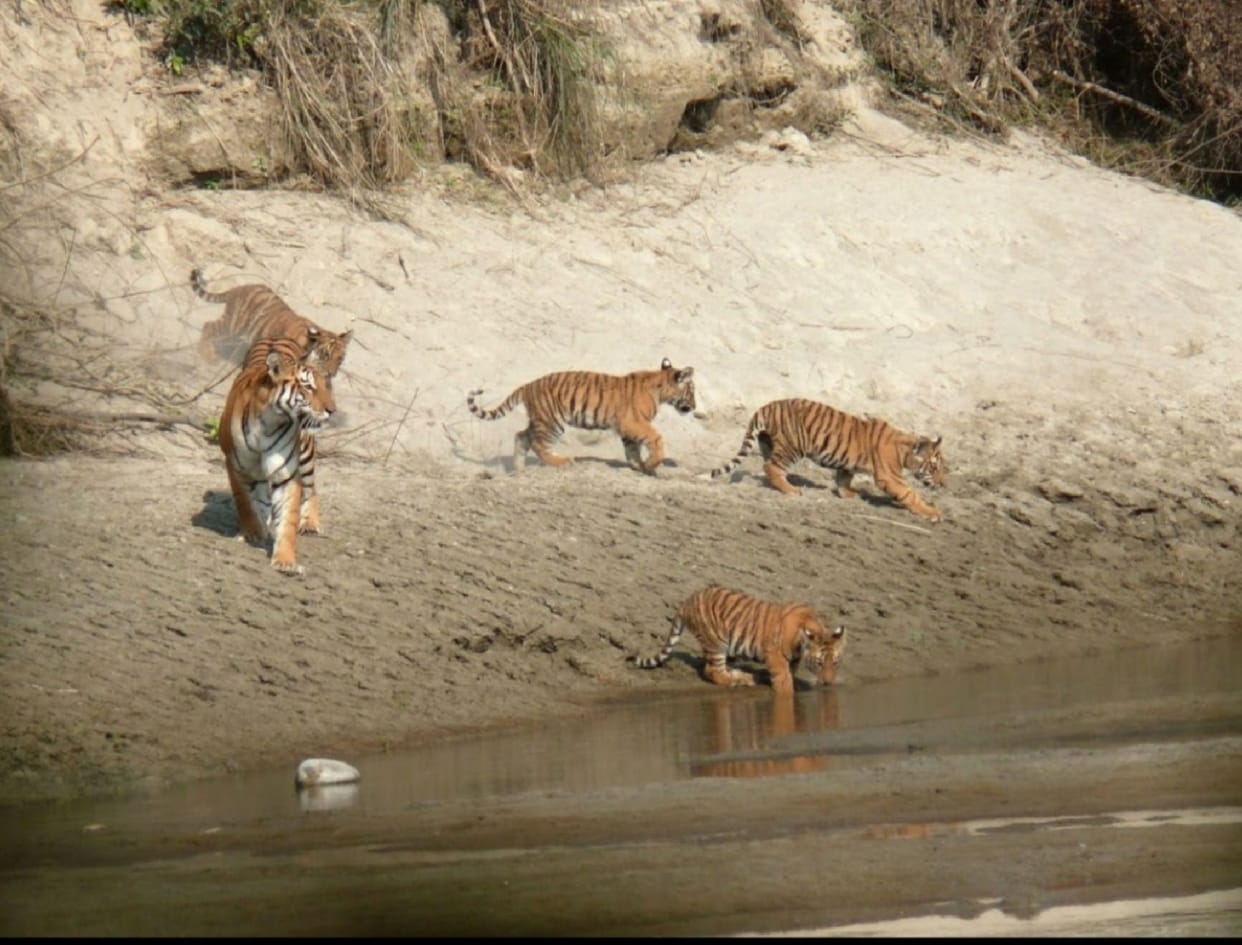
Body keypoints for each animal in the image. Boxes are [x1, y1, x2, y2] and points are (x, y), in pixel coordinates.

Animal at [191, 267, 352, 380]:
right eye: (325, 355)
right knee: (209, 326)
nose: (331, 374)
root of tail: (238, 288)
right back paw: (207, 356)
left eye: (340, 359)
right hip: (234, 324)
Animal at [218, 335, 335, 575]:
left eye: (324, 386)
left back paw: (310, 523)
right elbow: (245, 502)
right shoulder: (235, 466)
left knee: (312, 489)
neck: (270, 422)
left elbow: (288, 519)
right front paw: (253, 533)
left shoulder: (287, 475)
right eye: (308, 386)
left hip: (306, 455)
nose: (331, 410)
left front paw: (285, 560)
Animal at [466, 358, 696, 473]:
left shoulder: (629, 427)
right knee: (539, 445)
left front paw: (639, 466)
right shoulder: (634, 422)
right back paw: (563, 462)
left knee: (521, 437)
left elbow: (633, 449)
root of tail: (528, 385)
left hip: (539, 420)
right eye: (692, 390)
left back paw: (518, 469)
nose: (694, 407)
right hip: (552, 423)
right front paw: (651, 464)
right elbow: (656, 438)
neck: (661, 389)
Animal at [630, 584, 847, 697]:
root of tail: (688, 601)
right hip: (716, 642)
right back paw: (738, 680)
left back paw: (744, 676)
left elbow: (790, 673)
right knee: (712, 671)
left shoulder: (792, 659)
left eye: (835, 663)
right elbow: (783, 679)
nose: (828, 683)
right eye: (819, 663)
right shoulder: (774, 654)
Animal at [710, 397, 946, 522]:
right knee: (771, 466)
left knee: (769, 466)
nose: (943, 484)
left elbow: (843, 478)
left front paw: (848, 494)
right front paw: (932, 512)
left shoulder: (848, 464)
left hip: (769, 443)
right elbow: (910, 494)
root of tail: (766, 406)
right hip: (793, 446)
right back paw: (791, 490)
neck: (904, 450)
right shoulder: (890, 477)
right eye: (934, 468)